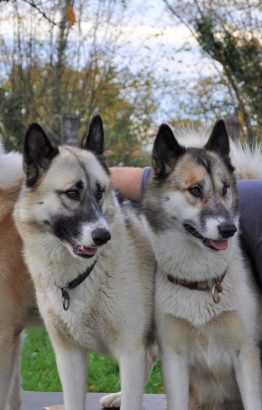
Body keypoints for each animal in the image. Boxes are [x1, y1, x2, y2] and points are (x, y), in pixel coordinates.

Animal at [142, 119, 260, 410]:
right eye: (195, 190)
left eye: (225, 187)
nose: (229, 229)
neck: (200, 282)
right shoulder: (173, 359)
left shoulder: (247, 354)